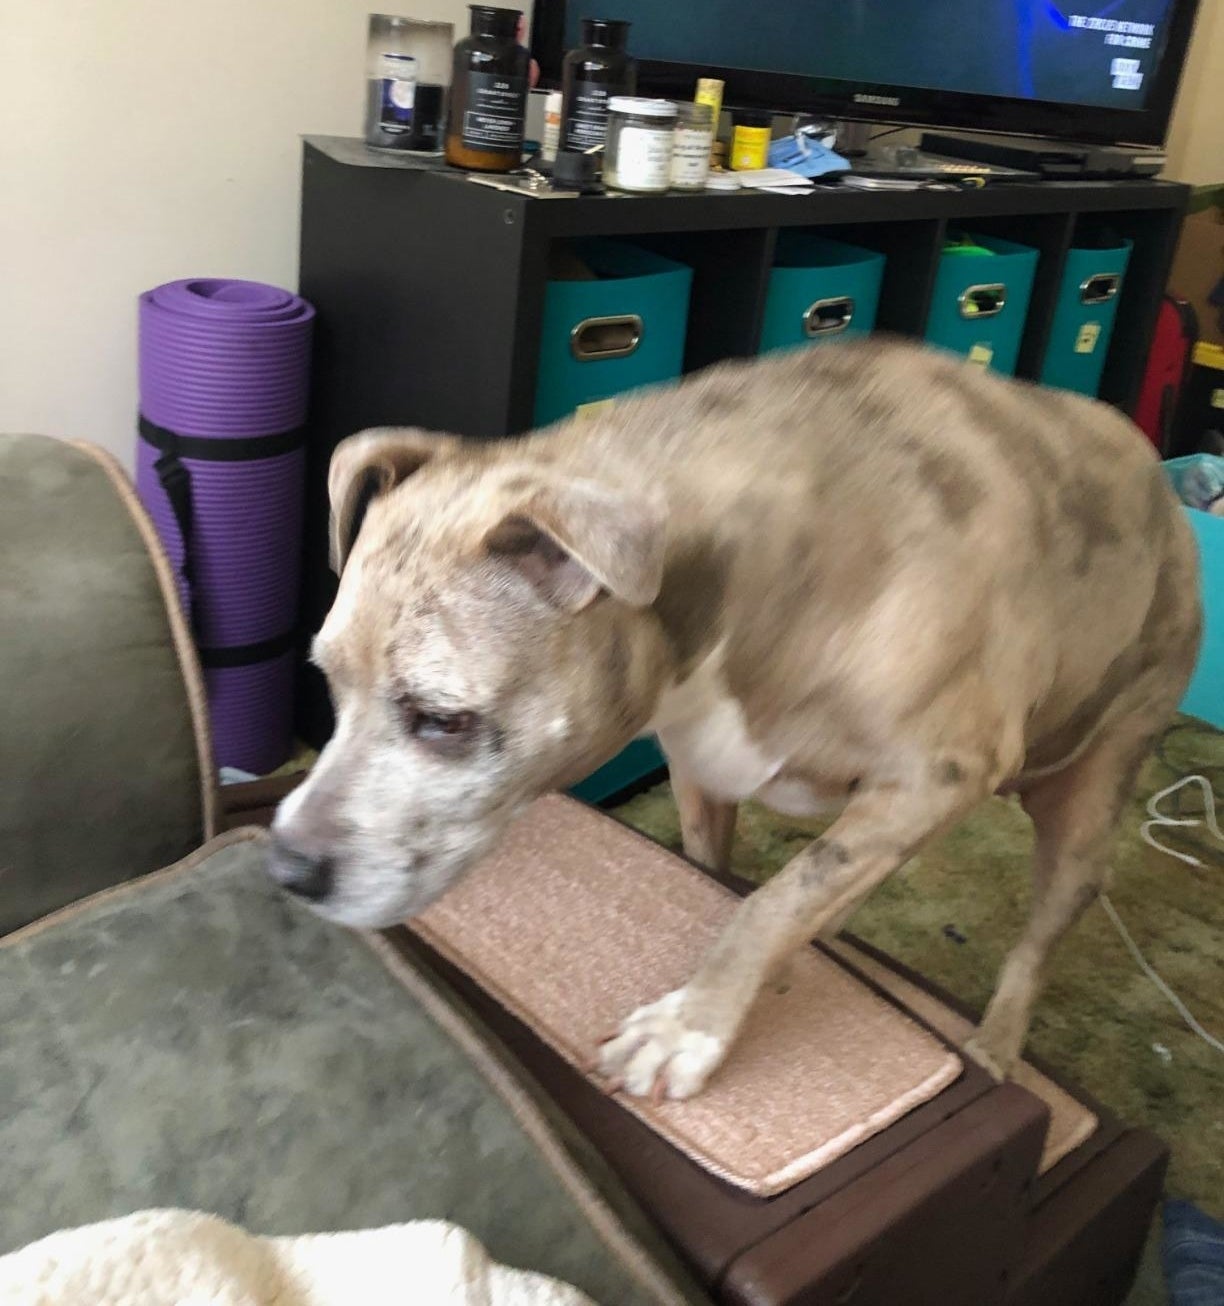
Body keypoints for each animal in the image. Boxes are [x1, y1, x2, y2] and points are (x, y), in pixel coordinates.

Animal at [270, 342, 1201, 1097]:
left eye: (442, 720)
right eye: (328, 686)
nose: (286, 869)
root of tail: (1155, 473)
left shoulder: (943, 769)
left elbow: (775, 901)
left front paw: (691, 1025)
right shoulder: (702, 771)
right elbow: (735, 879)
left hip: (1095, 786)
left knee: (1040, 934)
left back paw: (997, 1043)